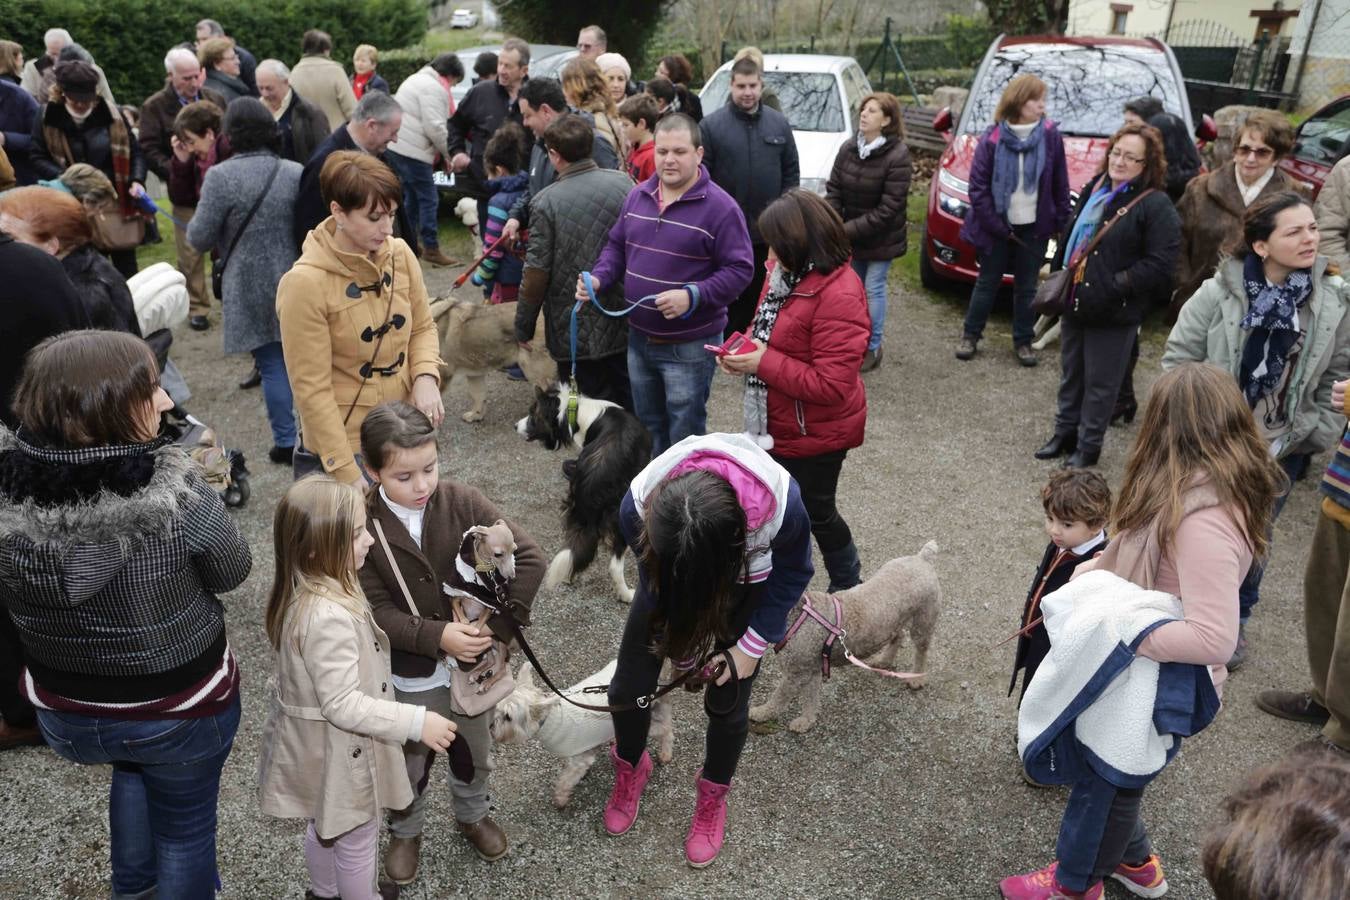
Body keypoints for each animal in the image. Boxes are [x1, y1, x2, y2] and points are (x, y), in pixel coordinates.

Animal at [491, 661, 675, 809]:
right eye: (497, 706)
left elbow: (565, 780)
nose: (490, 726)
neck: (550, 718)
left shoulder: (579, 760)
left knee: (666, 729)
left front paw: (560, 799)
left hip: (639, 724)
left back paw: (665, 754)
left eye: (508, 717)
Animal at [513, 383, 650, 601]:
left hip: (574, 506)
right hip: (619, 513)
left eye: (532, 415)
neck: (576, 411)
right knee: (614, 565)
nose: (515, 426)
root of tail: (595, 475)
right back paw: (627, 594)